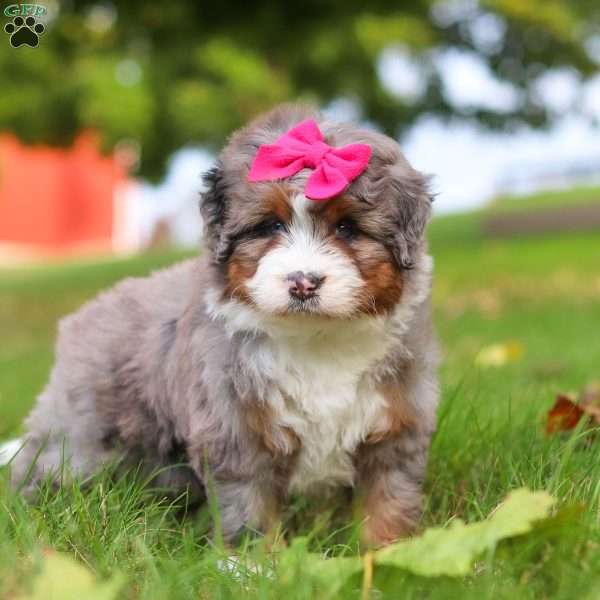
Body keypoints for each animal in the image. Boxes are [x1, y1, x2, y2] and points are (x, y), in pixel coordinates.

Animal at [7, 104, 438, 548]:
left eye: (347, 228)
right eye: (270, 226)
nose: (302, 282)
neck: (315, 338)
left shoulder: (396, 423)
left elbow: (387, 499)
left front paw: (389, 552)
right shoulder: (235, 428)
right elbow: (249, 504)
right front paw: (253, 560)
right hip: (81, 432)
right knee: (49, 467)